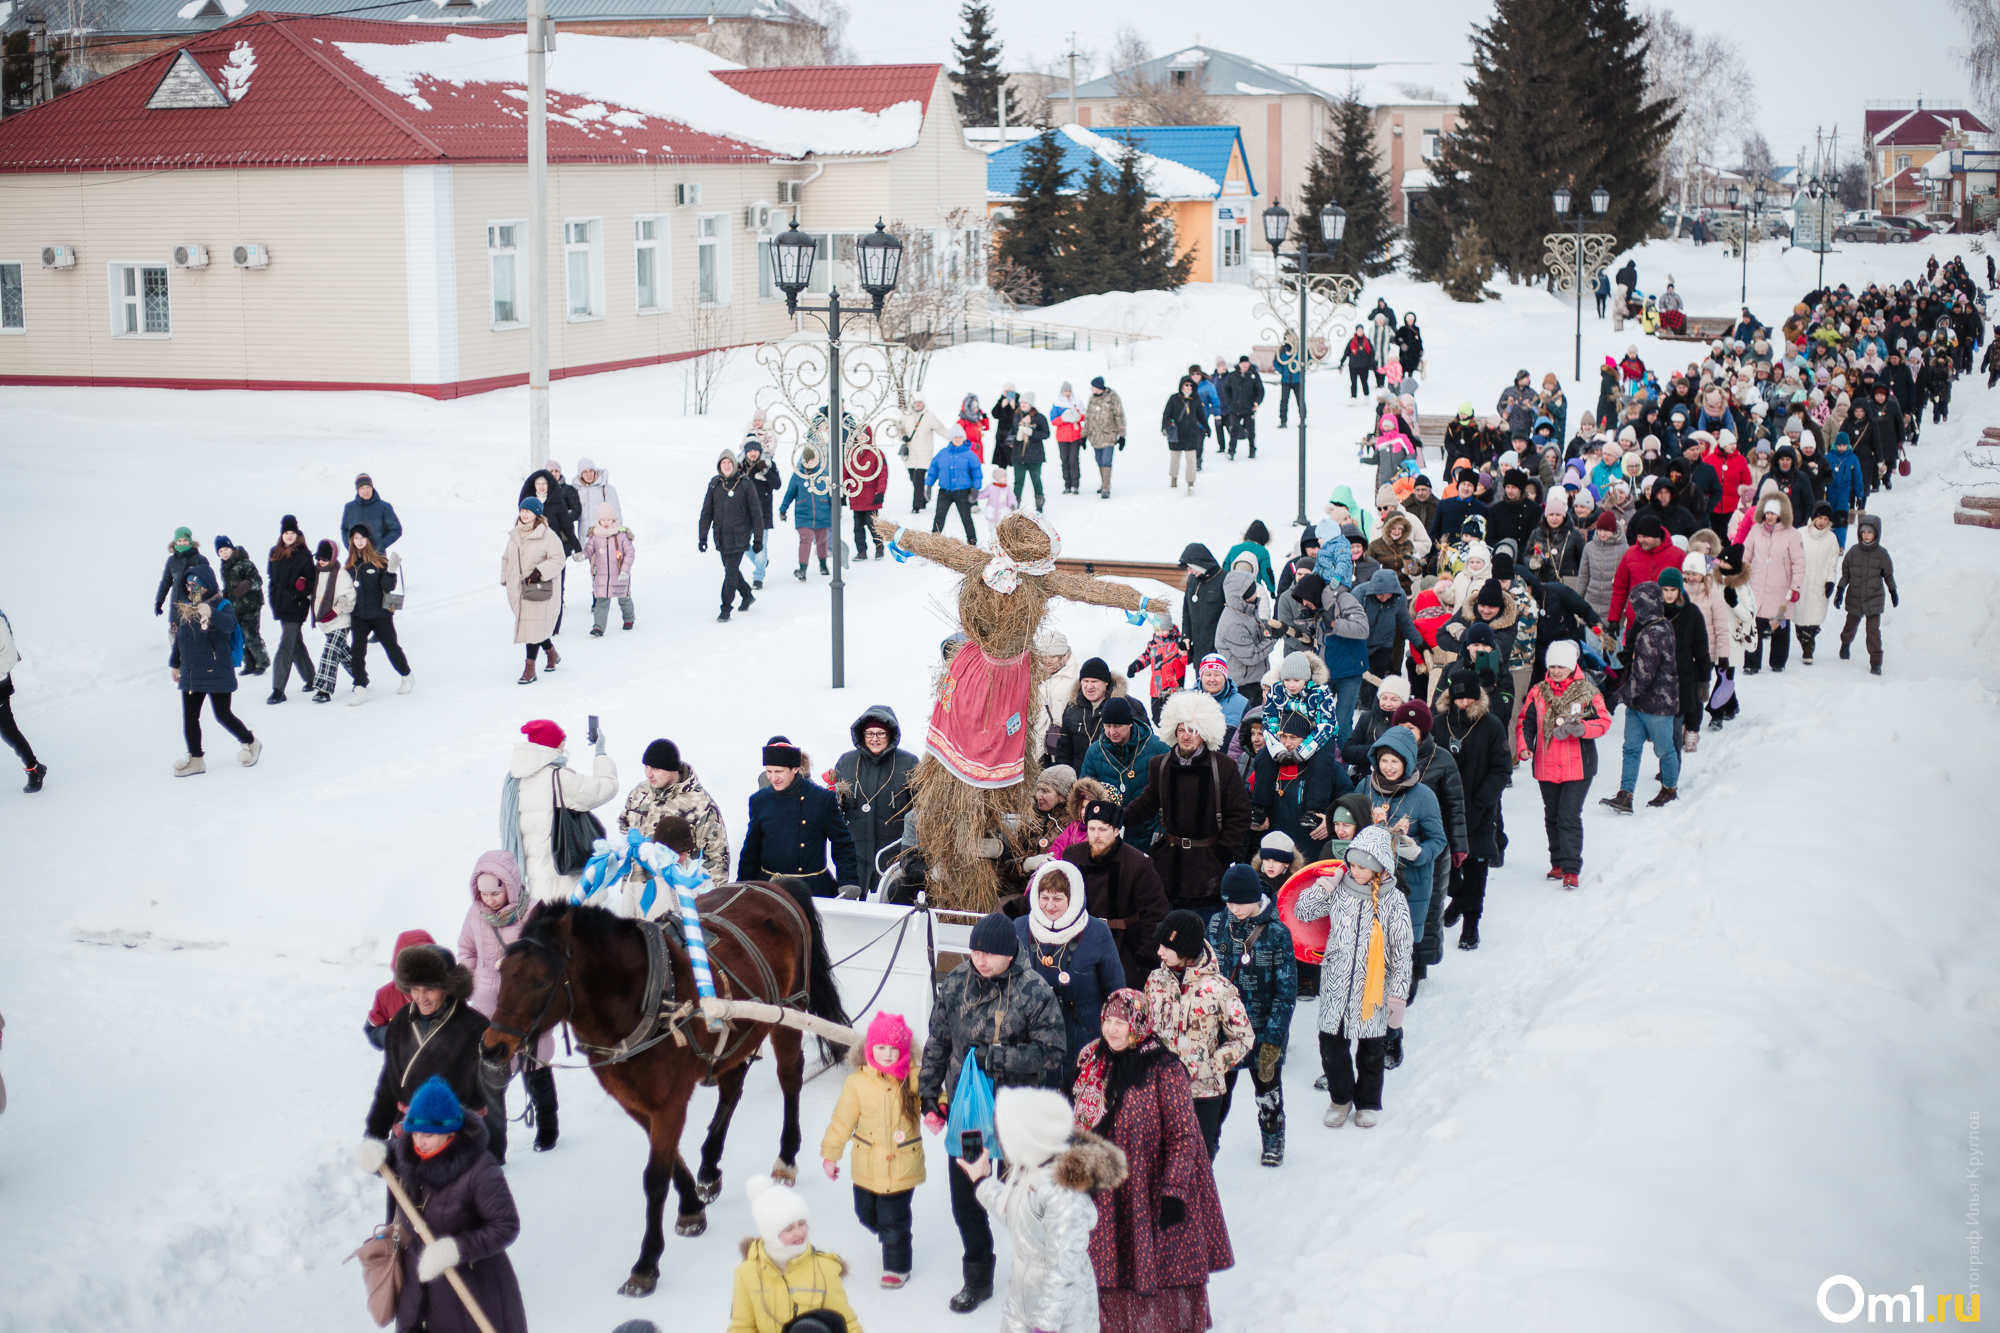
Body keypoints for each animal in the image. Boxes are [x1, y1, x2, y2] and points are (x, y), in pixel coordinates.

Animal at [484, 876, 844, 1288]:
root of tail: (774, 884)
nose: (493, 1048)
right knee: (732, 1088)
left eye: (542, 981)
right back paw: (710, 1168)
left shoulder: (669, 1100)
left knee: (789, 1081)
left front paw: (646, 1262)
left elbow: (655, 1177)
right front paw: (691, 1205)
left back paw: (786, 1158)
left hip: (789, 1014)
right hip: (737, 1037)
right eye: (501, 972)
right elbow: (672, 1161)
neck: (643, 998)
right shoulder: (634, 1100)